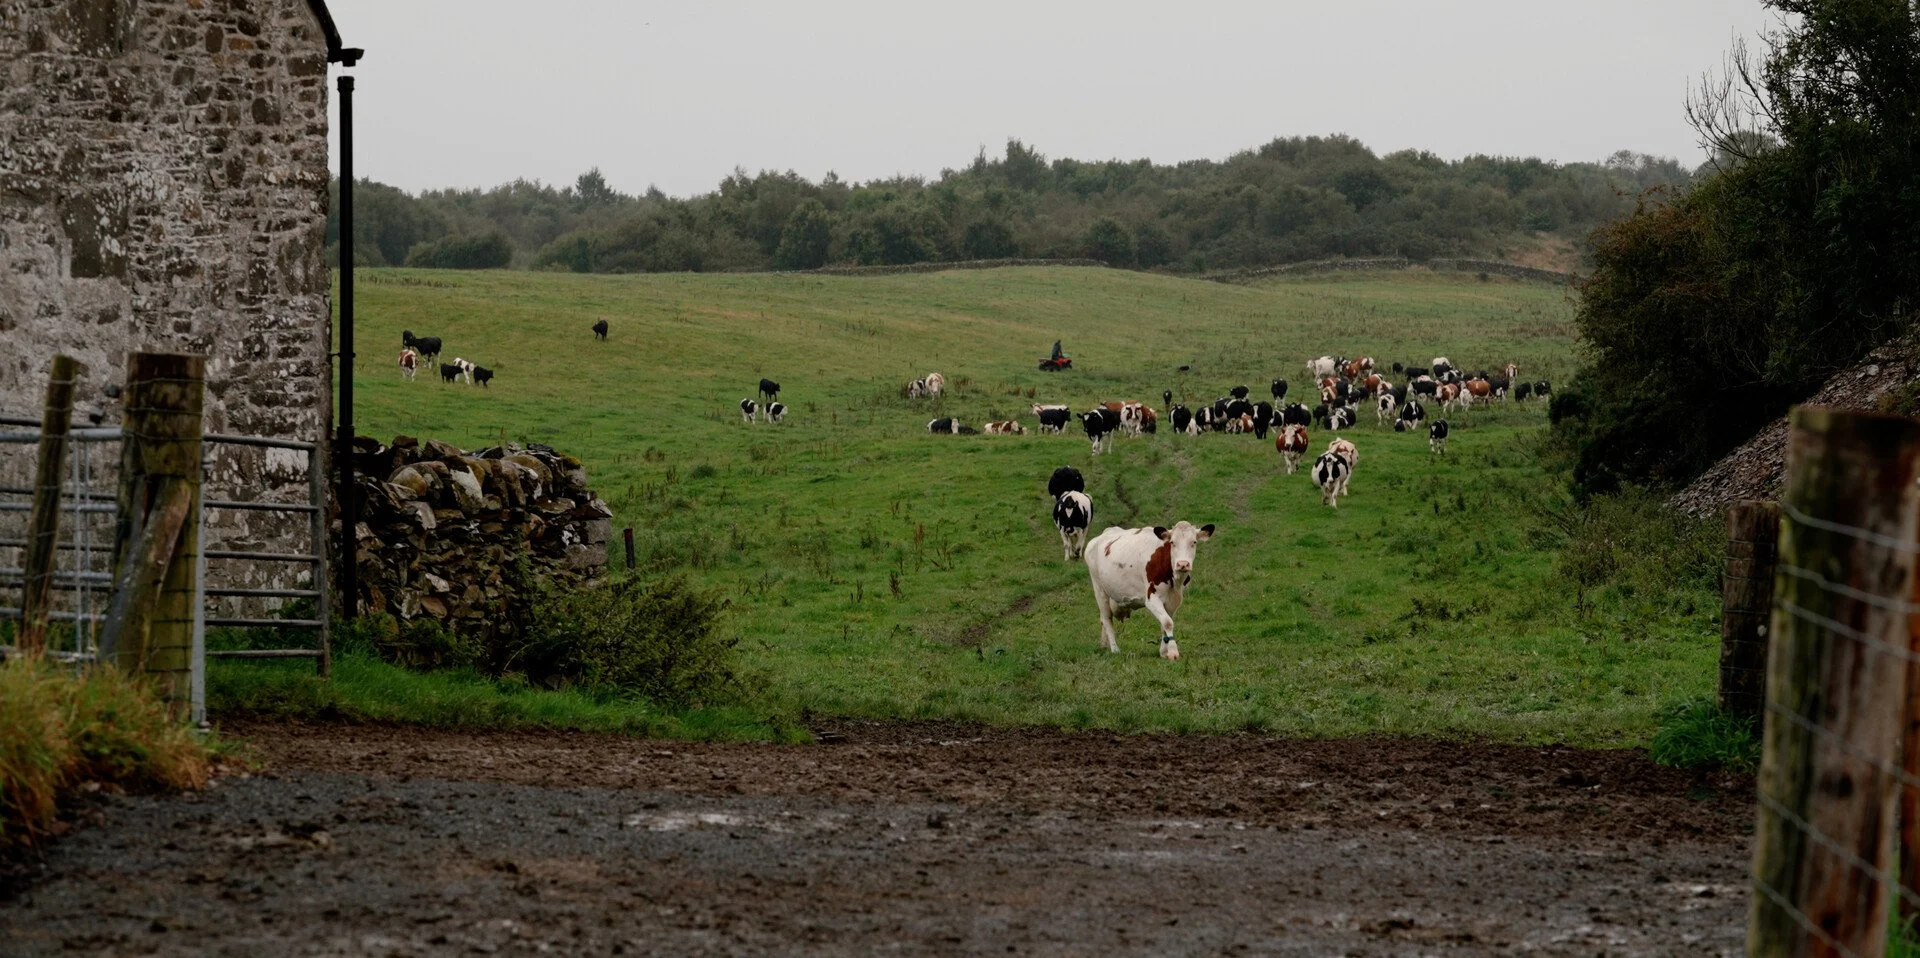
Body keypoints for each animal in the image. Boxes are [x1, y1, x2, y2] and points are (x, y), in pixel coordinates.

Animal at [1084, 521, 1217, 660]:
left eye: (1194, 542)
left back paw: (1104, 645)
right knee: (1107, 619)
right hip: (1099, 589)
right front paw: (1173, 652)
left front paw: (1164, 652)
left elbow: (1165, 623)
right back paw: (1115, 649)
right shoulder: (1152, 598)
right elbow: (1168, 622)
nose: (1182, 564)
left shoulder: (1174, 600)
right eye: (1172, 542)